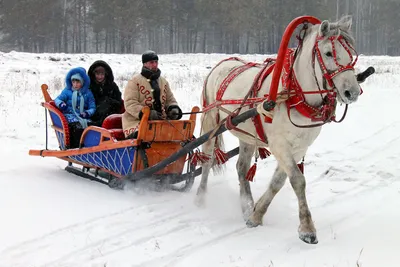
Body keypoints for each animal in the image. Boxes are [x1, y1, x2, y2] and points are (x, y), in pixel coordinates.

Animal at [196, 15, 360, 245]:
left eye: (351, 53)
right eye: (328, 53)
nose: (352, 92)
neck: (294, 93)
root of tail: (222, 63)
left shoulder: (299, 147)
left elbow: (278, 182)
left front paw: (256, 214)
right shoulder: (279, 144)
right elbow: (298, 181)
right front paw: (307, 229)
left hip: (247, 135)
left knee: (241, 168)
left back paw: (246, 205)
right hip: (210, 120)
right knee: (207, 160)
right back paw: (201, 198)